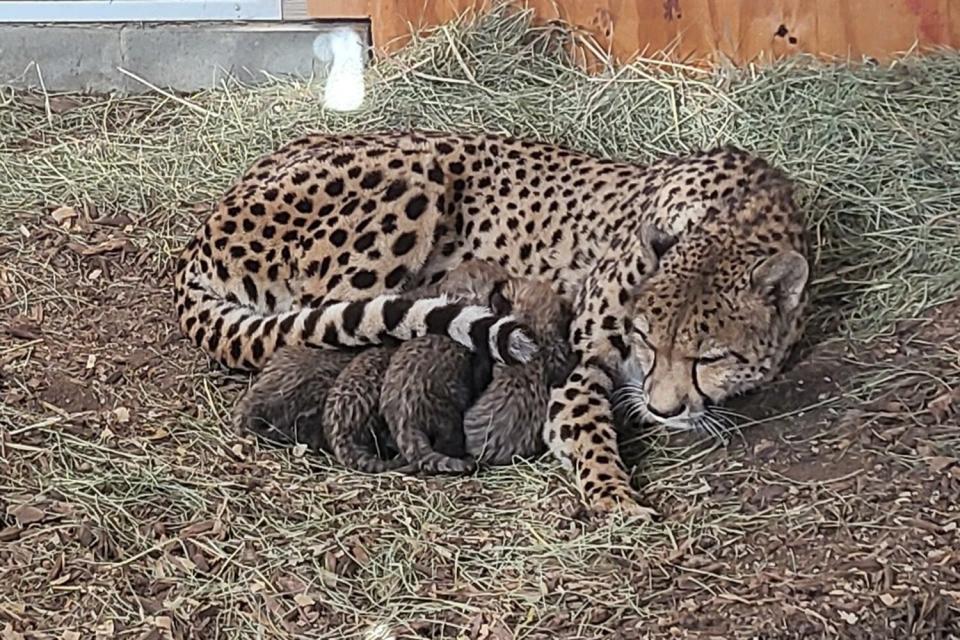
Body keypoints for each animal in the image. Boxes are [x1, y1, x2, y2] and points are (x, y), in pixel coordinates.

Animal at [174, 131, 808, 516]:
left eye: (711, 356)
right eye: (646, 339)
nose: (663, 409)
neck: (741, 212)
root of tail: (201, 233)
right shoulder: (575, 368)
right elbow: (589, 431)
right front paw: (615, 498)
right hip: (413, 177)